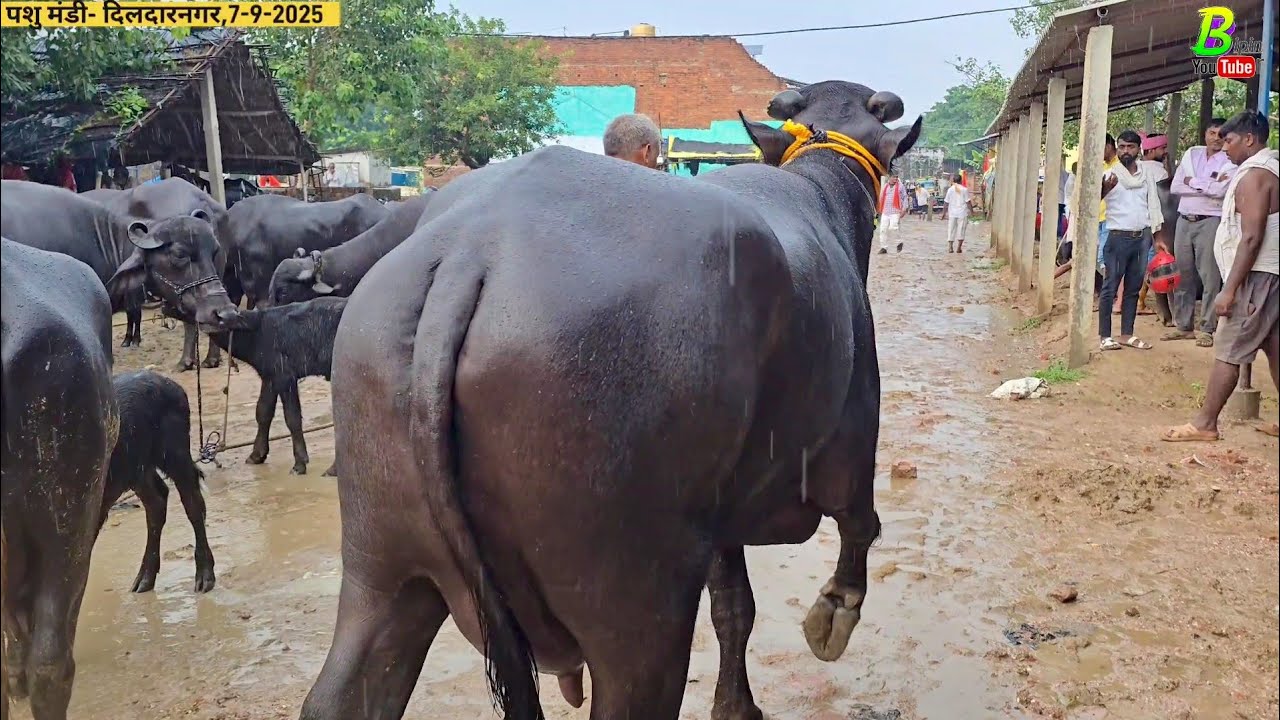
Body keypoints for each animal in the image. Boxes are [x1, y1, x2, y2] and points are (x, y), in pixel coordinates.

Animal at [302, 80, 920, 719]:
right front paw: (833, 613)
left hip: (383, 571)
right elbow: (860, 523)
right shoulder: (851, 440)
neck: (819, 191)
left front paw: (736, 705)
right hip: (637, 614)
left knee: (344, 683)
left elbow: (734, 608)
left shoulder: (720, 517)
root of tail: (470, 256)